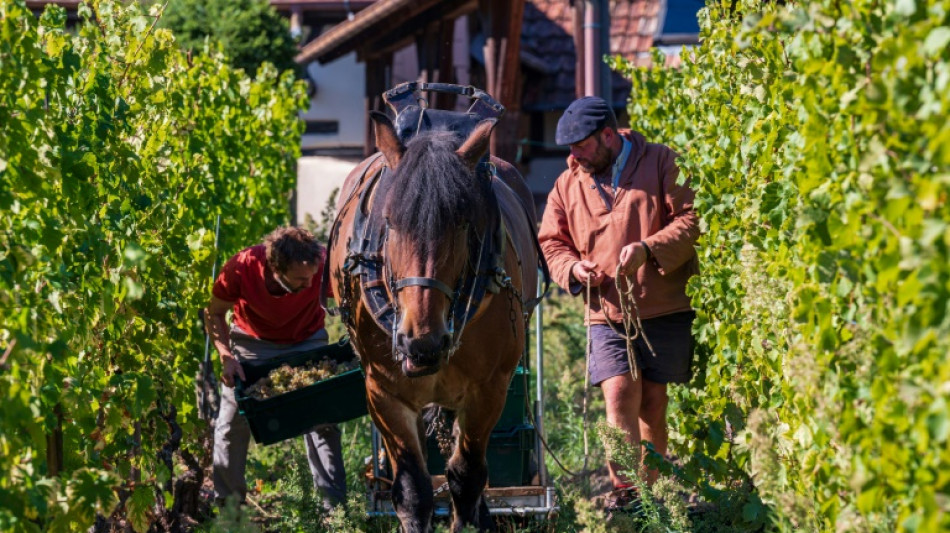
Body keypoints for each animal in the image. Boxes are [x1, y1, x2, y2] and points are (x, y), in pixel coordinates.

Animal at [330, 110, 544, 528]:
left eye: (462, 223)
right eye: (390, 222)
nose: (422, 342)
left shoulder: (488, 390)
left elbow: (466, 475)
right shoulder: (385, 392)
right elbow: (412, 489)